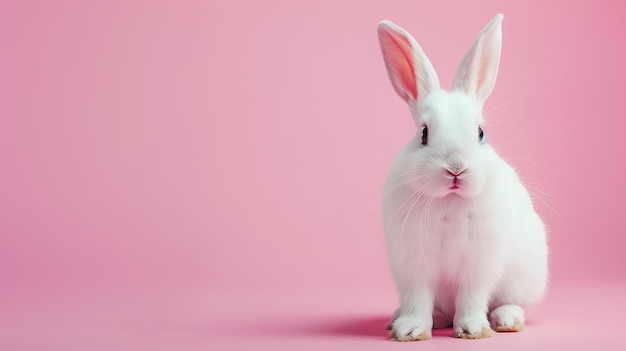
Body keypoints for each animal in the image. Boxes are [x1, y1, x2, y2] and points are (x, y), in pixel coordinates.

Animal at [376, 14, 544, 340]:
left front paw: (472, 329)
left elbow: (472, 297)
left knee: (512, 302)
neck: (449, 201)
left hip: (524, 277)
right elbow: (417, 299)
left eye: (480, 133)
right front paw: (411, 329)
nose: (456, 169)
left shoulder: (478, 265)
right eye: (424, 134)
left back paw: (506, 320)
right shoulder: (413, 265)